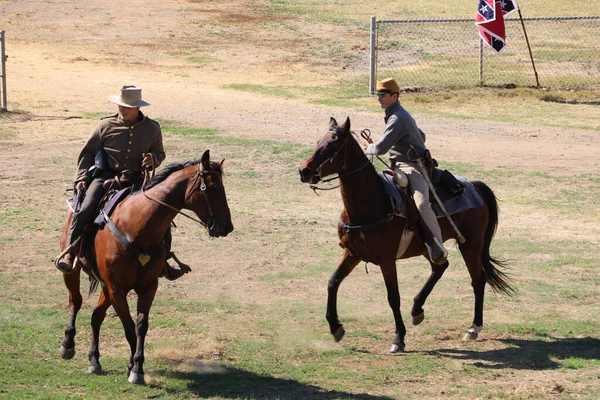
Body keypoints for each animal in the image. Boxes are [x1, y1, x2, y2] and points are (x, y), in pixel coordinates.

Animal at [56, 150, 233, 384]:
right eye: (211, 187)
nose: (227, 226)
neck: (136, 227)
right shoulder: (117, 288)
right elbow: (129, 327)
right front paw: (135, 369)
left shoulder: (147, 286)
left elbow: (141, 326)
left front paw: (136, 365)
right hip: (75, 273)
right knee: (76, 301)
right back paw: (68, 345)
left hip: (106, 286)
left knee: (96, 315)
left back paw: (94, 360)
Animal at [298, 116, 512, 354]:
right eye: (318, 141)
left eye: (333, 145)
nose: (304, 171)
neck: (372, 203)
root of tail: (474, 186)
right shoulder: (352, 254)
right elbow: (332, 282)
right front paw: (335, 327)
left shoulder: (387, 259)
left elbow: (393, 296)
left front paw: (399, 338)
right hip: (431, 247)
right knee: (440, 267)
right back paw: (417, 309)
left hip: (471, 246)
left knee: (478, 280)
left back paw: (473, 328)